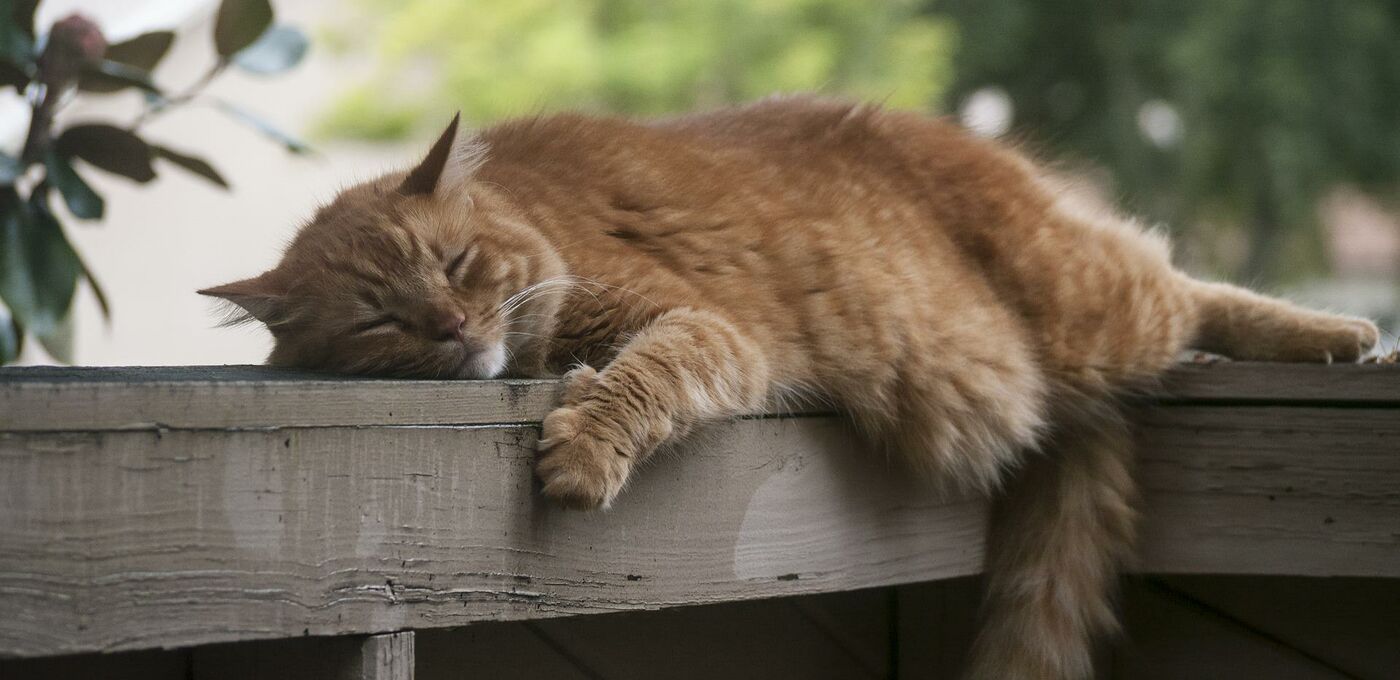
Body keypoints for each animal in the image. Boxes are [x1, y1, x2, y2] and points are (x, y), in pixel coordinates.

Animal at [197, 97, 1377, 680]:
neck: (534, 218)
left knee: (1183, 280)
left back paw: (1336, 333)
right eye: (379, 319)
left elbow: (638, 383)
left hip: (1088, 311)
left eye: (452, 265)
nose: (451, 330)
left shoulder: (701, 328)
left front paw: (582, 449)